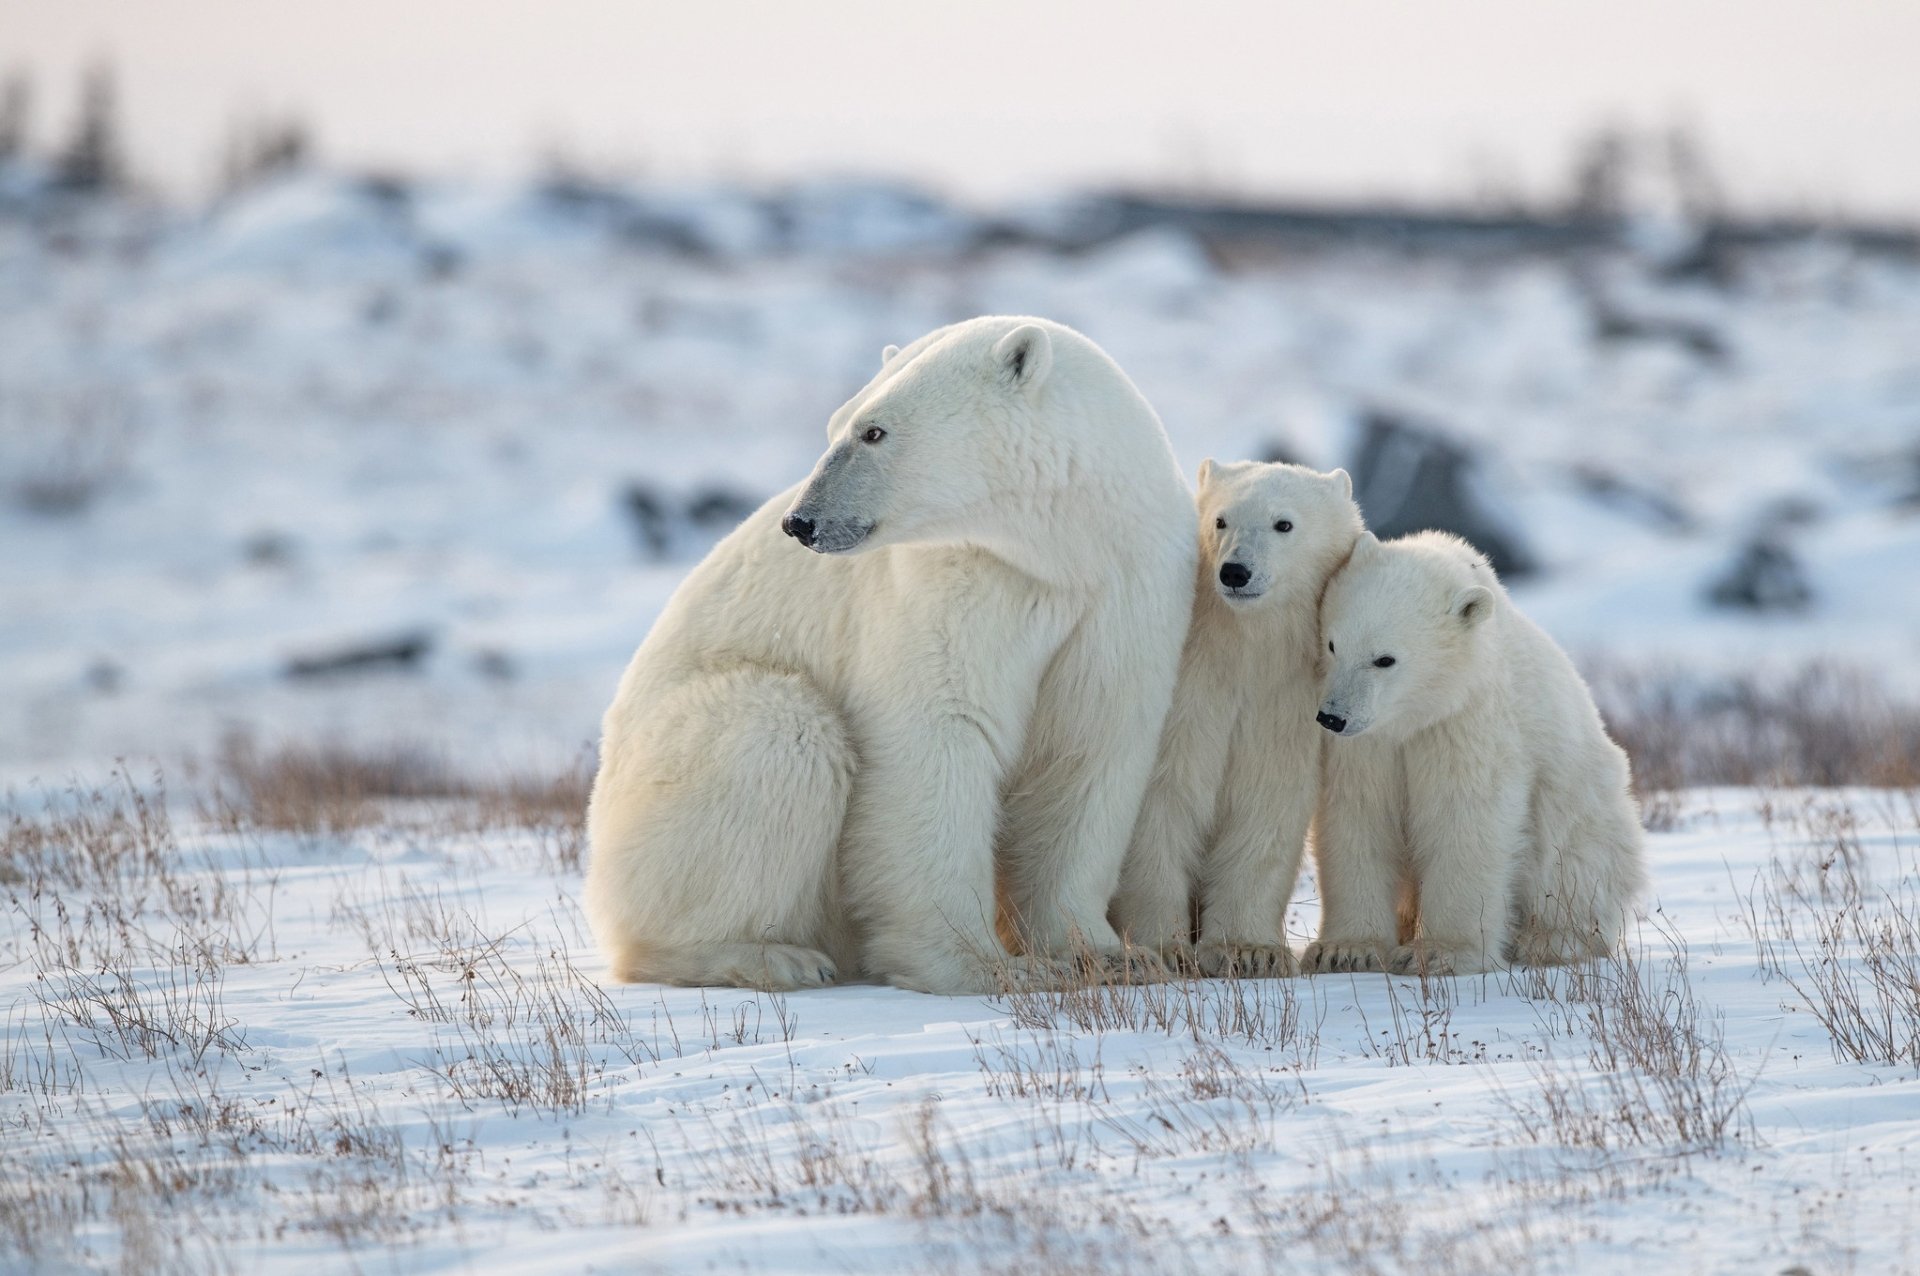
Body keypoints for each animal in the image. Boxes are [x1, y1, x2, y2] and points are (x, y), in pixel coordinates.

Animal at [583, 316, 1197, 995]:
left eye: (873, 431)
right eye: (837, 425)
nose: (800, 522)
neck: (1063, 550)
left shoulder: (1126, 589)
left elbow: (1091, 746)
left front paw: (1112, 955)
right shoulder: (954, 583)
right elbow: (938, 739)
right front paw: (987, 966)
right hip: (654, 781)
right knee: (777, 730)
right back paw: (770, 956)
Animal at [1111, 460, 1363, 978]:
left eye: (1283, 523)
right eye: (1220, 520)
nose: (1234, 571)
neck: (1242, 648)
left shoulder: (1282, 704)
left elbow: (1263, 806)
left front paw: (1249, 951)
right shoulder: (1185, 699)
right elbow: (1159, 806)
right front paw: (1166, 948)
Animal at [1301, 530, 1646, 976]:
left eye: (1384, 659)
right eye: (1332, 644)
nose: (1332, 717)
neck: (1416, 714)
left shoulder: (1467, 723)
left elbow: (1465, 814)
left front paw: (1438, 952)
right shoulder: (1367, 747)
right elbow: (1358, 812)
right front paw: (1345, 950)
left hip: (1584, 806)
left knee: (1569, 862)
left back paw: (1550, 939)